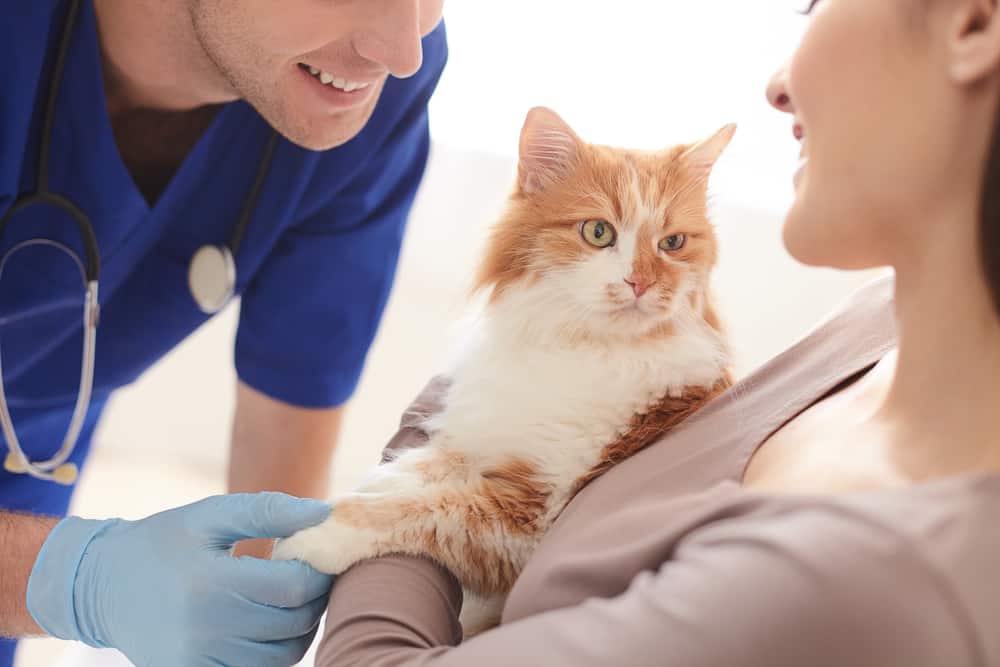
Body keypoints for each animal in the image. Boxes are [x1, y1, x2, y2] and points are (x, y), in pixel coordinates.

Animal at [274, 107, 736, 636]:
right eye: (598, 232)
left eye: (672, 243)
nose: (639, 282)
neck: (578, 348)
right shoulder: (489, 438)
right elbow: (424, 468)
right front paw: (366, 485)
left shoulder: (529, 521)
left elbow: (415, 509)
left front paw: (314, 533)